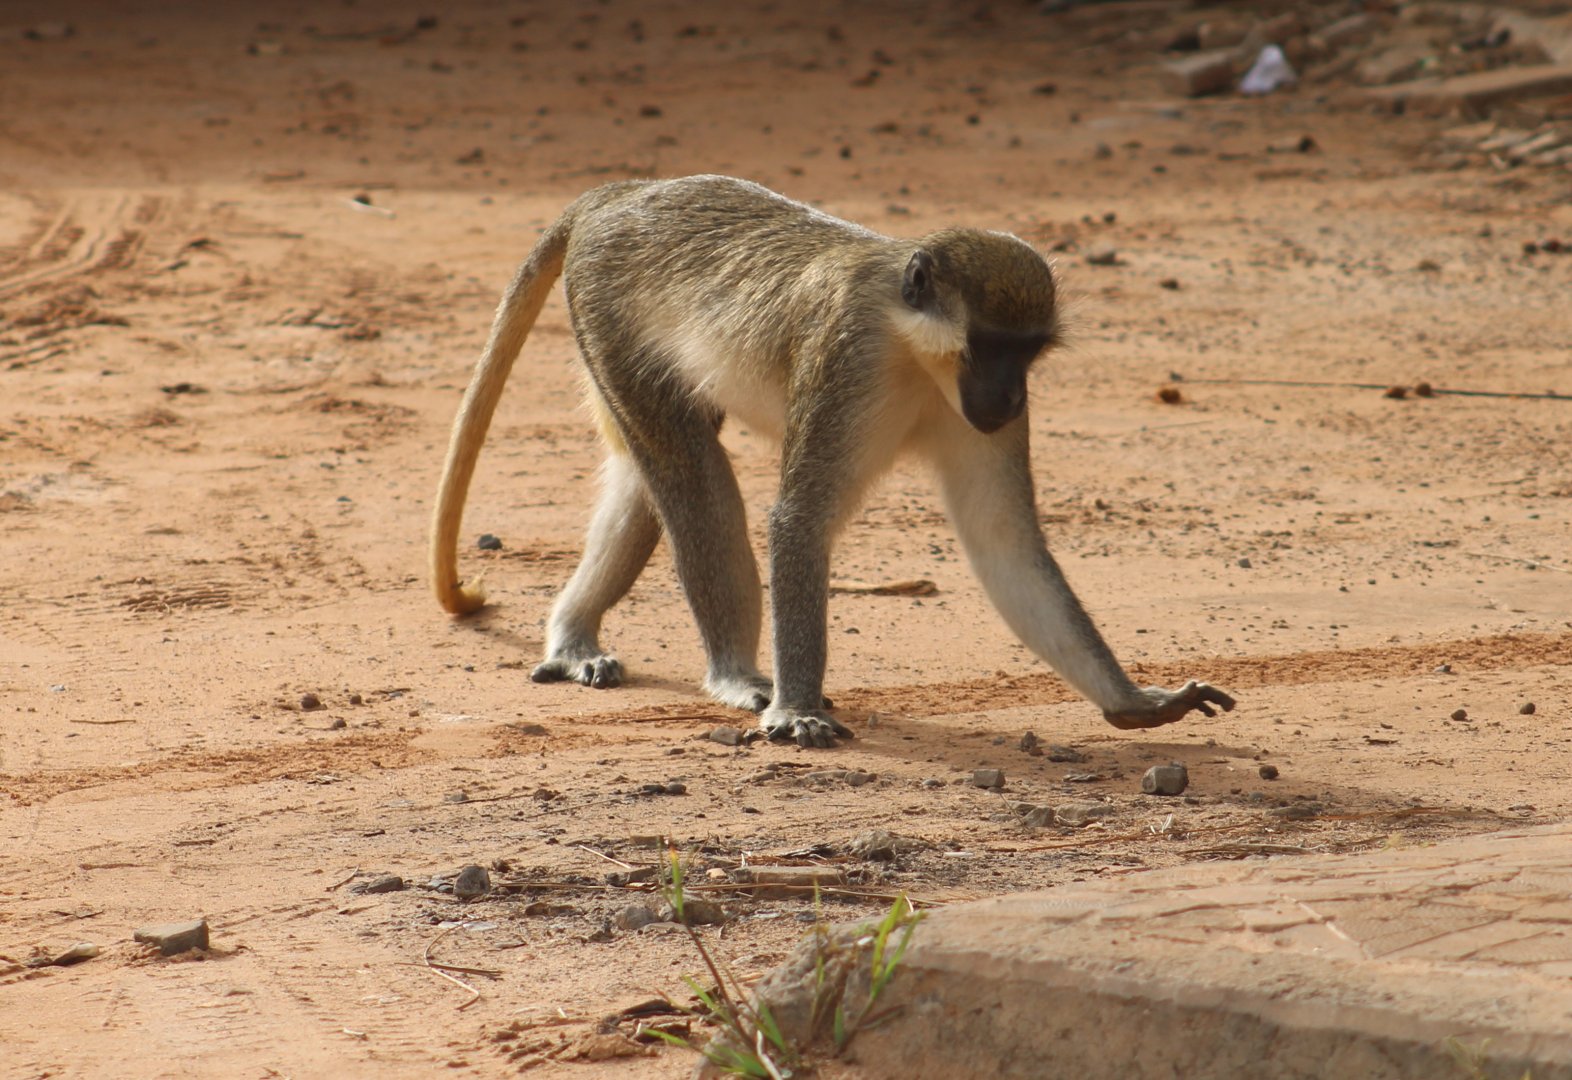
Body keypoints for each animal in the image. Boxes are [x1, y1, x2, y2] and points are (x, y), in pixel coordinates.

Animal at [430, 175, 1235, 747]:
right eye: (990, 346)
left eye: (1029, 350)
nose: (1008, 396)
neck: (915, 352)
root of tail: (620, 195)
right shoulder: (847, 356)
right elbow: (799, 518)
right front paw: (797, 709)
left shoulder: (982, 421)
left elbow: (1004, 542)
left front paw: (1133, 703)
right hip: (607, 315)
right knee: (692, 476)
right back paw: (734, 673)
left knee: (644, 480)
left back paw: (573, 637)